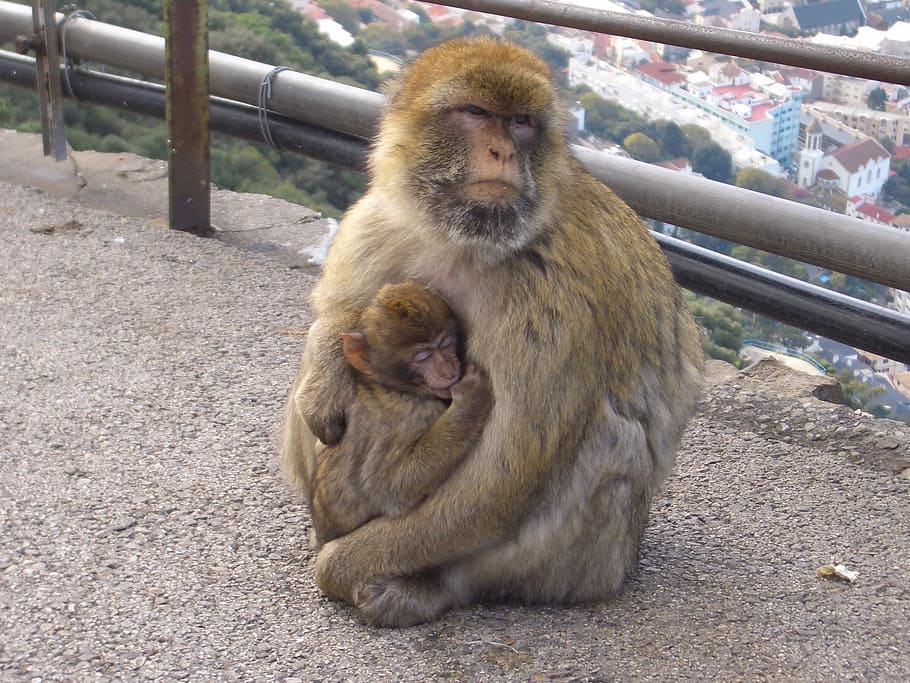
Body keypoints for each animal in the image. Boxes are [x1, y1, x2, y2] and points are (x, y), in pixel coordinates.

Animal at [297, 280, 492, 551]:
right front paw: (471, 397)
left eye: (445, 342)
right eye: (422, 356)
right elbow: (392, 488)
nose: (448, 368)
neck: (392, 386)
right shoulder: (411, 415)